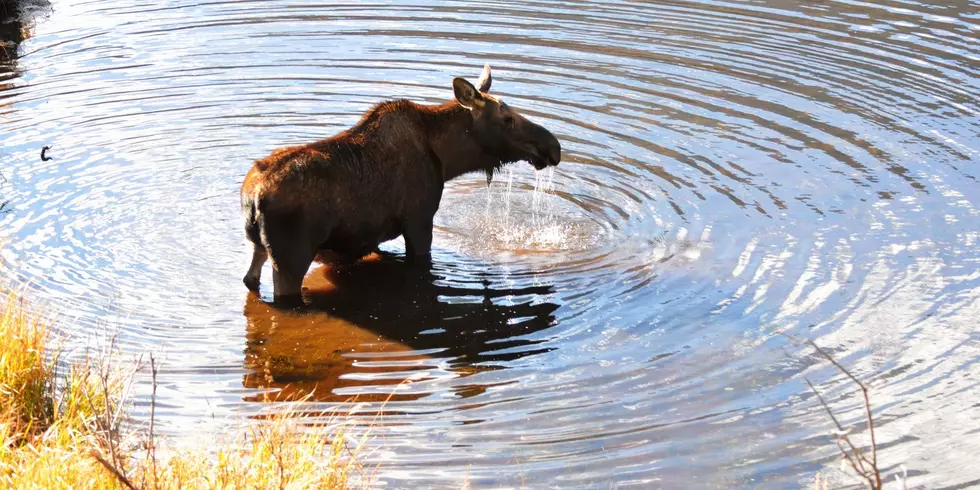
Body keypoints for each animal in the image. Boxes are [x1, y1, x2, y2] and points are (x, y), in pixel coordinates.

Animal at [239, 64, 560, 302]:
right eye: (507, 119)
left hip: (258, 245)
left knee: (249, 279)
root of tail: (252, 197)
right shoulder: (418, 220)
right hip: (290, 259)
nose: (553, 147)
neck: (449, 158)